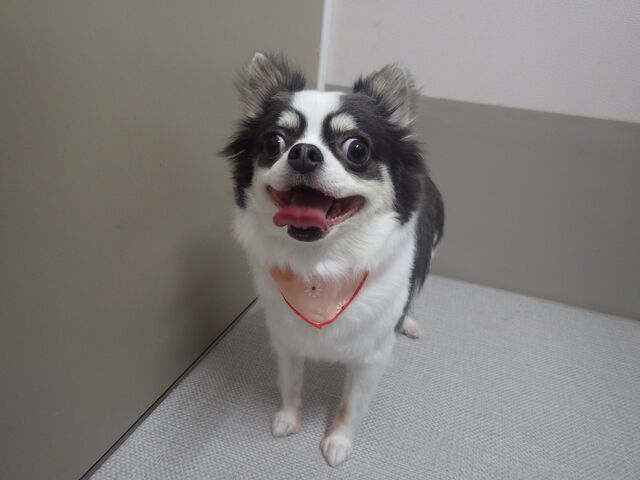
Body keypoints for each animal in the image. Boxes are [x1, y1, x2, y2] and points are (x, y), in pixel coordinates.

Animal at [222, 52, 444, 467]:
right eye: (274, 142)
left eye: (356, 148)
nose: (304, 152)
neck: (321, 269)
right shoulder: (286, 339)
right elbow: (290, 383)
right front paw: (288, 418)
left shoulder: (371, 358)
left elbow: (350, 406)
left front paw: (338, 440)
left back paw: (408, 322)